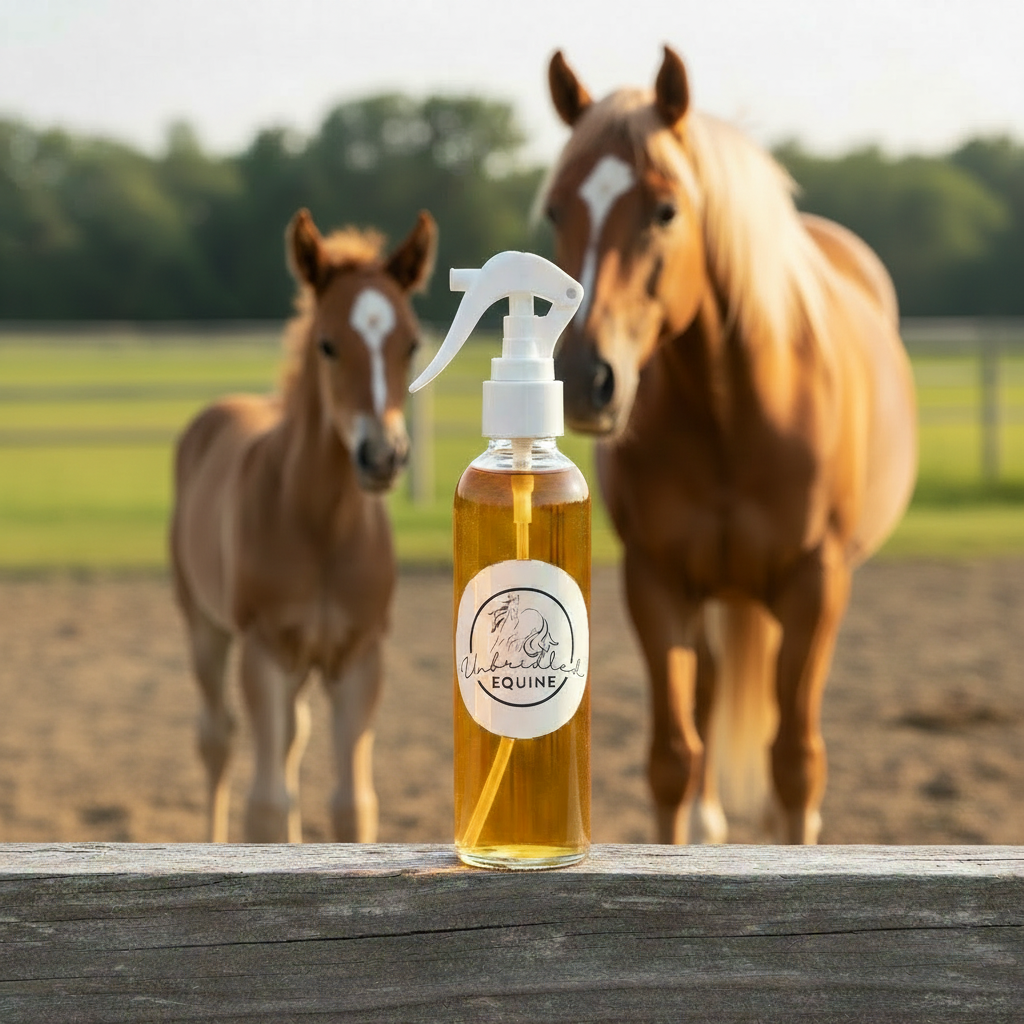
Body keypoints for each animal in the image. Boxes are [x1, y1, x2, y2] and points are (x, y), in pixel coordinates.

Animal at [170, 207, 437, 842]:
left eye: (412, 343)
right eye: (327, 344)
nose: (382, 456)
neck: (322, 527)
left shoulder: (361, 656)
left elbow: (353, 806)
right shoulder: (264, 651)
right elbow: (267, 807)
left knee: (293, 737)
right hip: (205, 626)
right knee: (217, 739)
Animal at [543, 47, 917, 844]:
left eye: (666, 210)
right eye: (557, 208)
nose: (586, 378)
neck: (733, 412)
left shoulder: (816, 583)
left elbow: (797, 761)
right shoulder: (655, 582)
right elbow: (671, 757)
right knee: (709, 692)